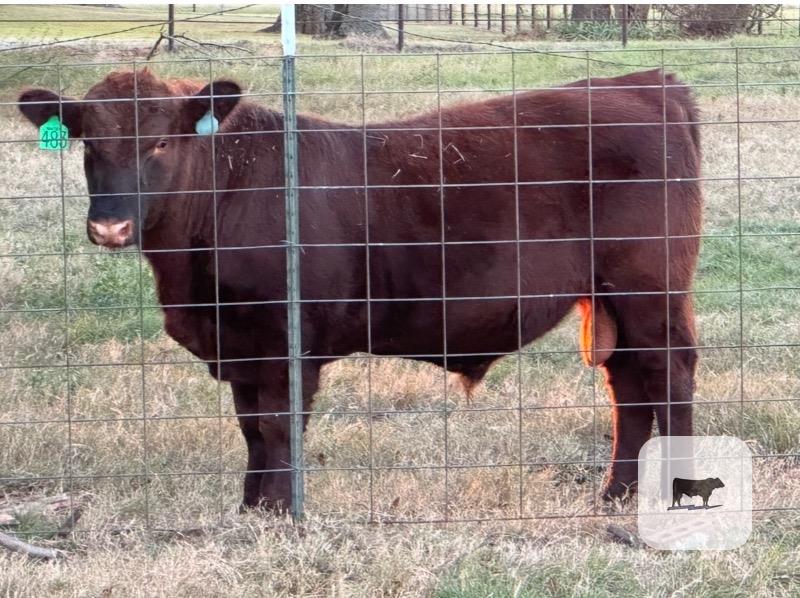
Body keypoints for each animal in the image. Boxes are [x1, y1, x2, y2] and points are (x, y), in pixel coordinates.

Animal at [18, 67, 702, 511]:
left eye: (160, 141)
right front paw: (249, 508)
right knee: (628, 387)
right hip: (612, 298)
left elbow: (277, 426)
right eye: (89, 144)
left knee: (669, 377)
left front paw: (280, 513)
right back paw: (616, 495)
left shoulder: (283, 341)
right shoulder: (239, 343)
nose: (110, 226)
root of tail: (643, 83)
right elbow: (250, 428)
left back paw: (678, 490)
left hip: (649, 291)